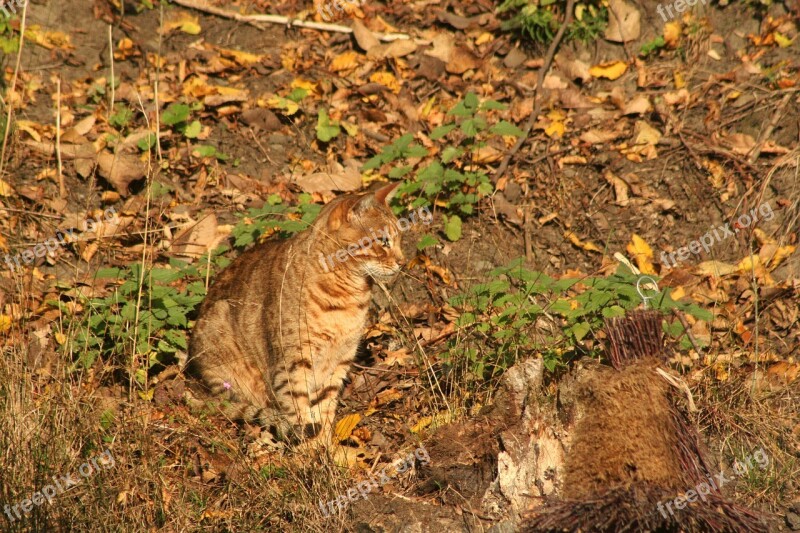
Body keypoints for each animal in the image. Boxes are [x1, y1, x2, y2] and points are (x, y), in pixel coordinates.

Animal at [185, 181, 404, 446]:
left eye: (399, 239)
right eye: (383, 241)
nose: (403, 261)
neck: (347, 297)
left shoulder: (338, 362)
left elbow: (324, 410)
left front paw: (325, 450)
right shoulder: (294, 363)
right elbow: (299, 411)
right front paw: (309, 453)